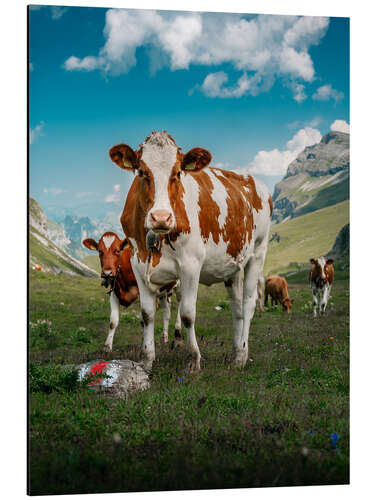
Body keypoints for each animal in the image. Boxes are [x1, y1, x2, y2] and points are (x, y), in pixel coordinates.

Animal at [109, 132, 274, 372]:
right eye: (141, 172)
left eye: (178, 173)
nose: (161, 217)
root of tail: (251, 178)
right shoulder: (137, 263)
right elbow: (147, 314)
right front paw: (147, 360)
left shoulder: (191, 263)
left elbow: (187, 313)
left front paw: (194, 360)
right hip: (233, 264)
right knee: (236, 309)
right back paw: (235, 353)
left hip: (258, 253)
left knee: (248, 304)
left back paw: (242, 354)